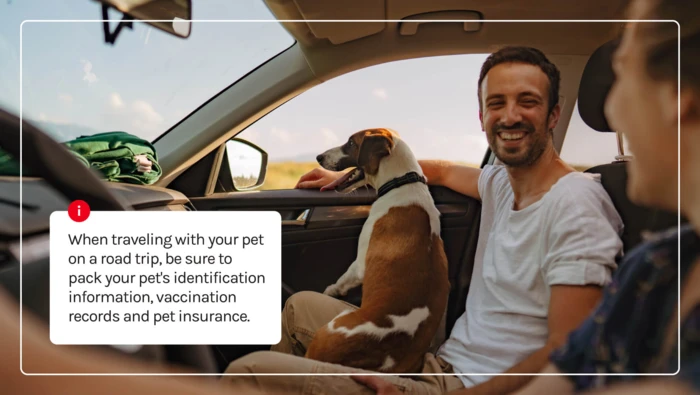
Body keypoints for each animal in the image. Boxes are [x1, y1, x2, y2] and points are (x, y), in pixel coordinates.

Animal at [304, 129, 448, 374]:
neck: (401, 183)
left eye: (351, 143)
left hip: (335, 323)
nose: (318, 157)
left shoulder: (360, 264)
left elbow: (340, 281)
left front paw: (329, 290)